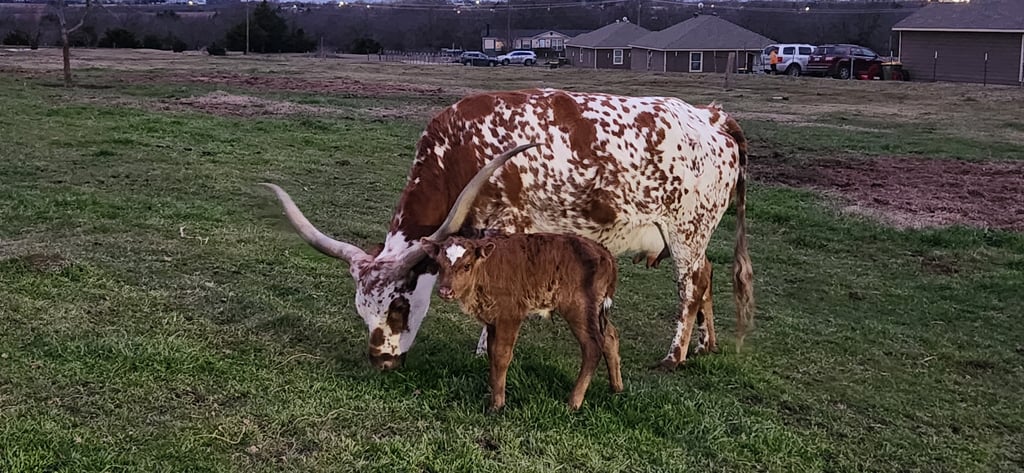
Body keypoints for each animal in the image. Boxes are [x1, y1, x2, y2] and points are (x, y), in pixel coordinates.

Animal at [260, 88, 754, 371]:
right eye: (362, 311)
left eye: (400, 306)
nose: (379, 359)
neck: (459, 148)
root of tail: (712, 117)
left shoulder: (509, 226)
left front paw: (486, 348)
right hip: (695, 236)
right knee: (708, 278)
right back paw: (705, 346)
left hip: (687, 230)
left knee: (692, 286)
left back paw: (675, 356)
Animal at [420, 233, 622, 411]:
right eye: (439, 264)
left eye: (467, 266)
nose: (445, 291)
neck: (486, 270)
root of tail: (603, 251)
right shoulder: (492, 320)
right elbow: (491, 352)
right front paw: (491, 388)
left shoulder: (509, 316)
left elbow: (502, 356)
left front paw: (497, 404)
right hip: (595, 312)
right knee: (610, 336)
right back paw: (616, 388)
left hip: (580, 309)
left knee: (593, 347)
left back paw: (574, 402)